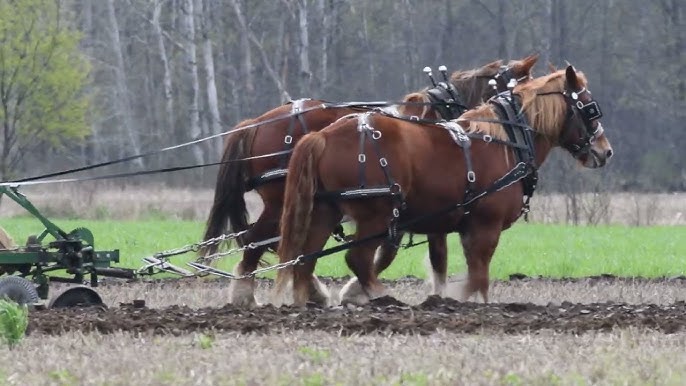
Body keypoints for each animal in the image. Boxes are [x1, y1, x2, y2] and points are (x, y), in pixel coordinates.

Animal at [202, 55, 540, 308]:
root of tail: (254, 124)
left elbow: (427, 256)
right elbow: (403, 254)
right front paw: (360, 292)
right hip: (281, 202)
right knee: (260, 241)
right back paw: (250, 295)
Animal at [276, 66, 620, 308]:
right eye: (590, 107)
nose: (605, 151)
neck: (505, 140)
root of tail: (323, 135)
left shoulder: (461, 228)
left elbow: (463, 270)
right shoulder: (485, 226)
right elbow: (478, 278)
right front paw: (460, 300)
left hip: (325, 211)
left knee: (305, 260)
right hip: (376, 215)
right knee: (357, 259)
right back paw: (380, 298)